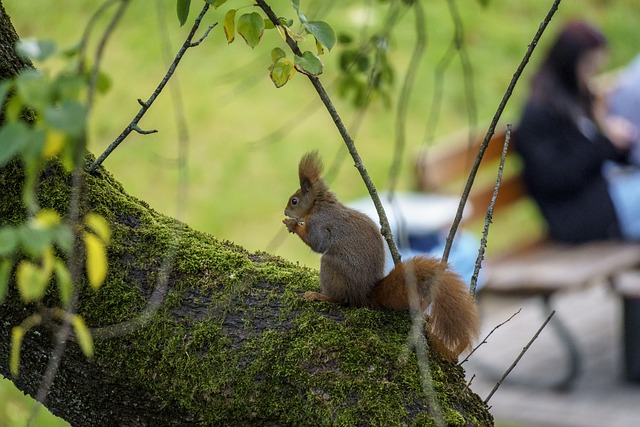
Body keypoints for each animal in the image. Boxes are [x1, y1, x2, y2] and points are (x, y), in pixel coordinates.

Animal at [282, 152, 478, 360]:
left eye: (294, 201)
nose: (285, 212)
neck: (318, 205)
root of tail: (365, 294)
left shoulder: (321, 224)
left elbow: (317, 242)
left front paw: (293, 225)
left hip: (331, 269)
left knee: (341, 299)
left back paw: (319, 295)